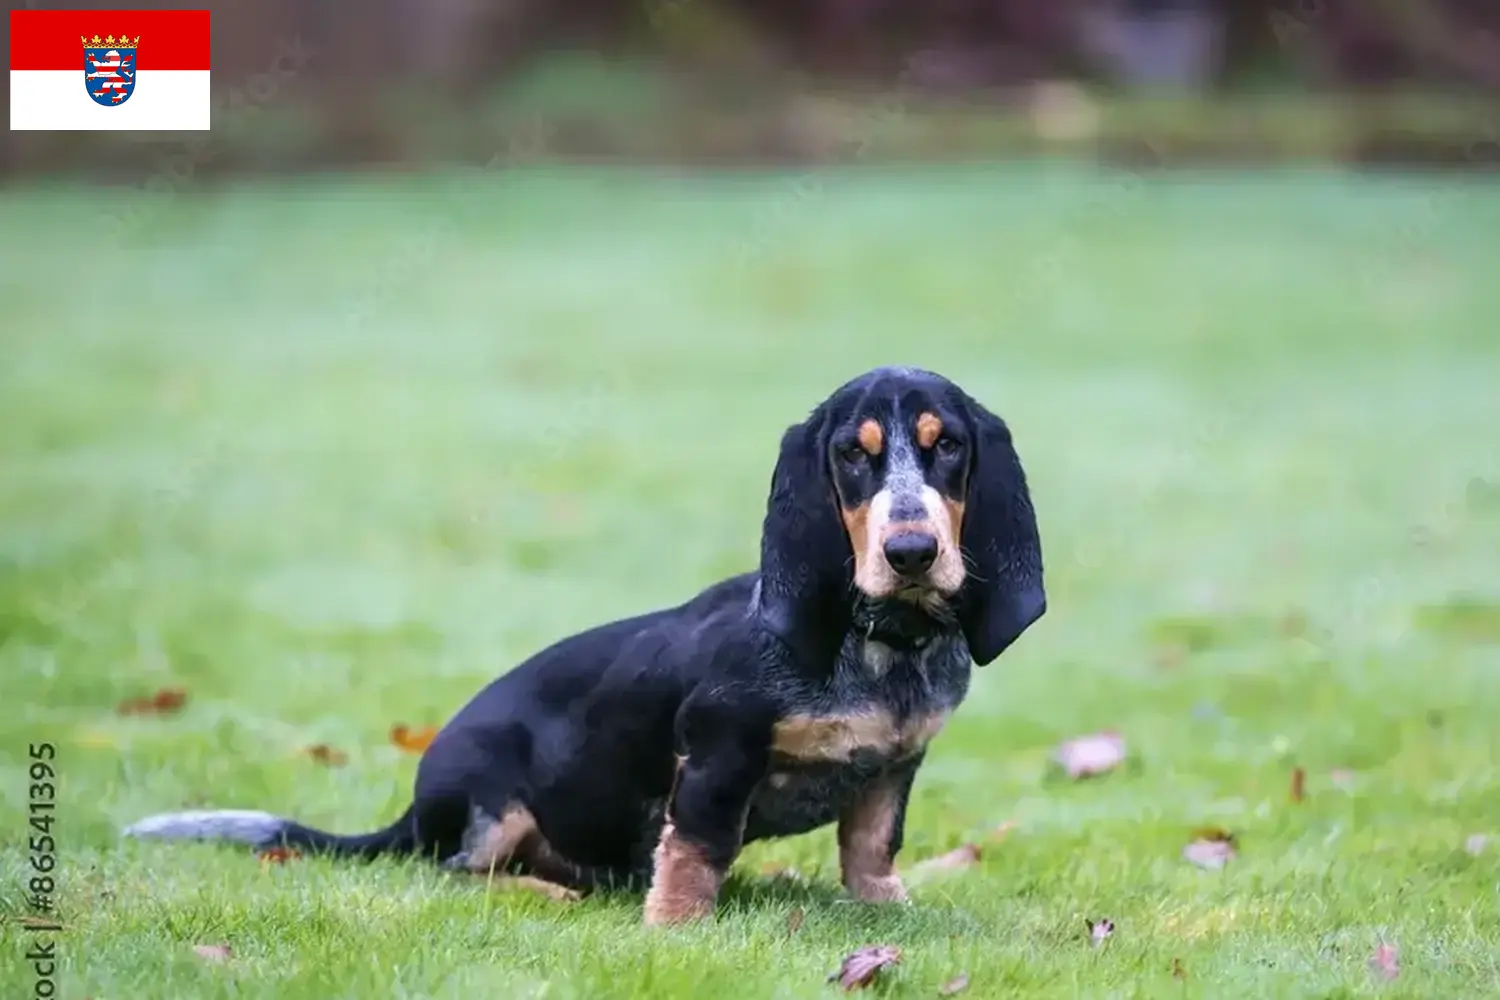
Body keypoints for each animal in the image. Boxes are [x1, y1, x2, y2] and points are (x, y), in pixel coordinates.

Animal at [126, 365, 1044, 923]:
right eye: (853, 458)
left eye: (947, 448)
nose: (911, 552)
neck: (882, 643)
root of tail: (411, 813)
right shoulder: (717, 755)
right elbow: (695, 855)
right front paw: (676, 932)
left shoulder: (894, 768)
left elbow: (871, 850)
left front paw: (888, 913)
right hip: (489, 802)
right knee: (460, 873)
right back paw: (545, 892)